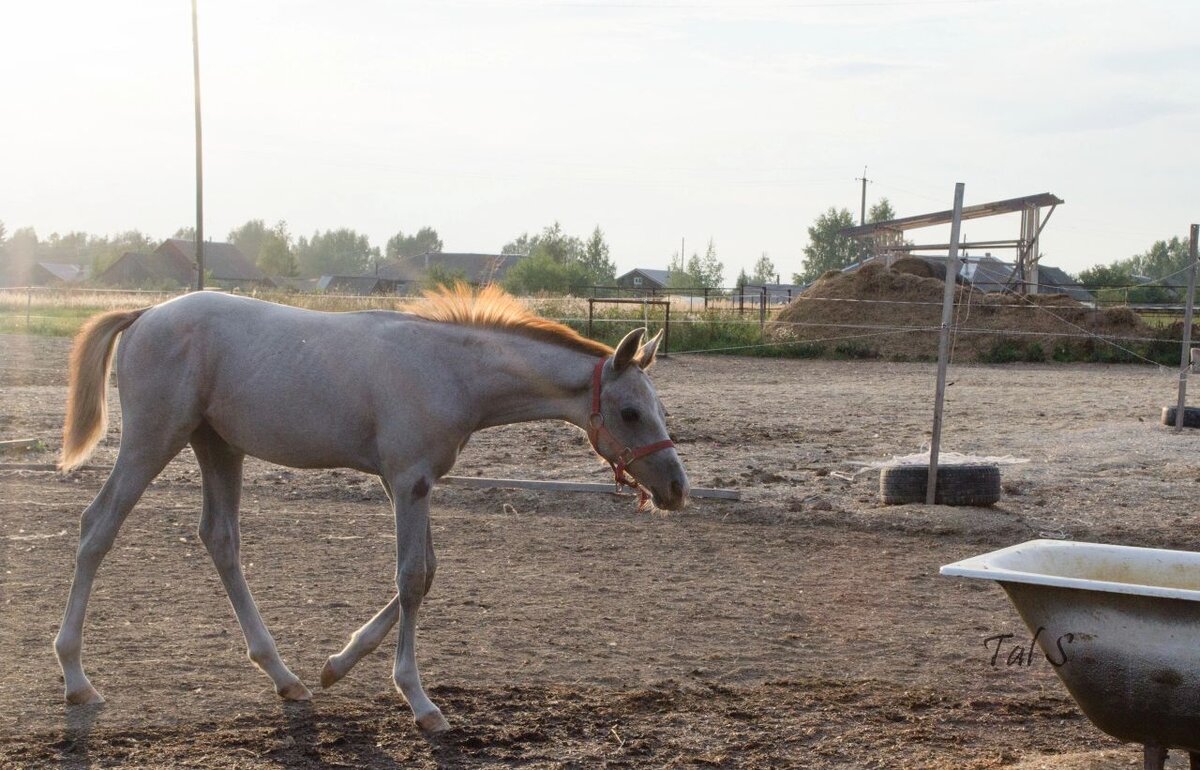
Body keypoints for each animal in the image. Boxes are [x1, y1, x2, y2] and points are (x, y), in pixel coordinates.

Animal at [56, 285, 691, 729]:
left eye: (657, 408)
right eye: (631, 412)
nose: (677, 488)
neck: (448, 371)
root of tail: (144, 314)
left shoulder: (415, 483)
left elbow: (427, 574)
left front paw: (338, 665)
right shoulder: (407, 482)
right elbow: (410, 579)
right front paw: (419, 700)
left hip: (217, 446)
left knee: (221, 539)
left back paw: (285, 677)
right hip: (153, 439)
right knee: (97, 527)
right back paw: (76, 678)